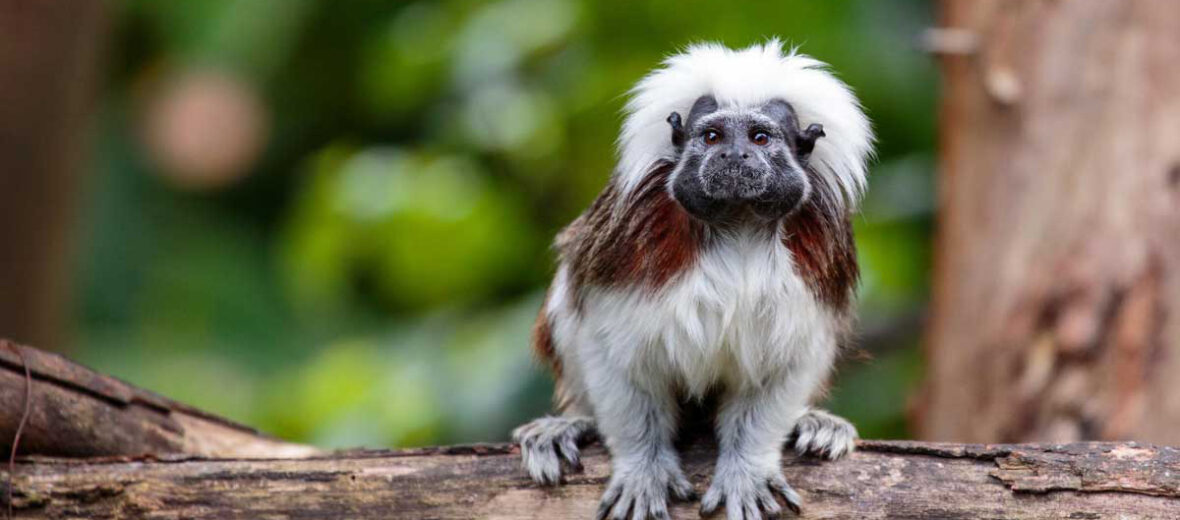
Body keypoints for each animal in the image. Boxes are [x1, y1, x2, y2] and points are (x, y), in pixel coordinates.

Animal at [512, 40, 873, 518]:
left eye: (759, 137)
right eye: (713, 136)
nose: (733, 156)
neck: (738, 225)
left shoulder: (824, 250)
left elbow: (785, 365)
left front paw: (748, 468)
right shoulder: (627, 239)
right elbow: (612, 352)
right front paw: (643, 468)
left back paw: (814, 423)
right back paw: (569, 426)